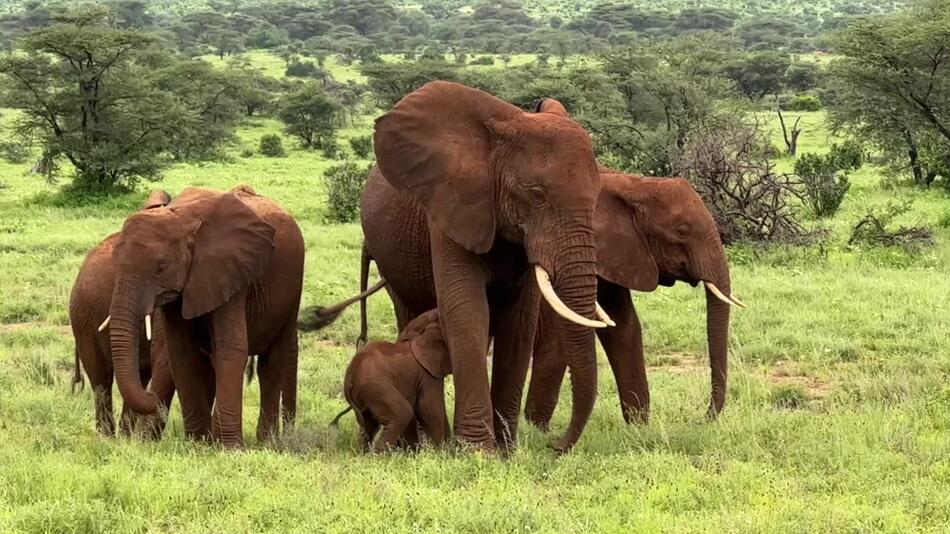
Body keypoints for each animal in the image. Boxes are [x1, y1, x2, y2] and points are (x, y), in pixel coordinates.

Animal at [106, 184, 304, 448]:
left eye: (161, 267)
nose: (150, 395)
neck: (183, 219)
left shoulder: (230, 271)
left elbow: (231, 348)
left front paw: (230, 449)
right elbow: (180, 352)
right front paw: (197, 443)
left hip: (290, 291)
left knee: (272, 362)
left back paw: (267, 443)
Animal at [334, 310, 454, 452]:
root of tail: (349, 379)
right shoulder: (427, 375)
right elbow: (429, 409)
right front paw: (443, 451)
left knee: (368, 424)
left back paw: (362, 453)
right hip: (375, 388)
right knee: (401, 413)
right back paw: (380, 455)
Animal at [524, 172, 748, 432]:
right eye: (682, 231)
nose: (703, 419)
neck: (632, 185)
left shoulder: (616, 257)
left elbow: (625, 328)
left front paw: (639, 429)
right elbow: (558, 338)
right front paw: (537, 430)